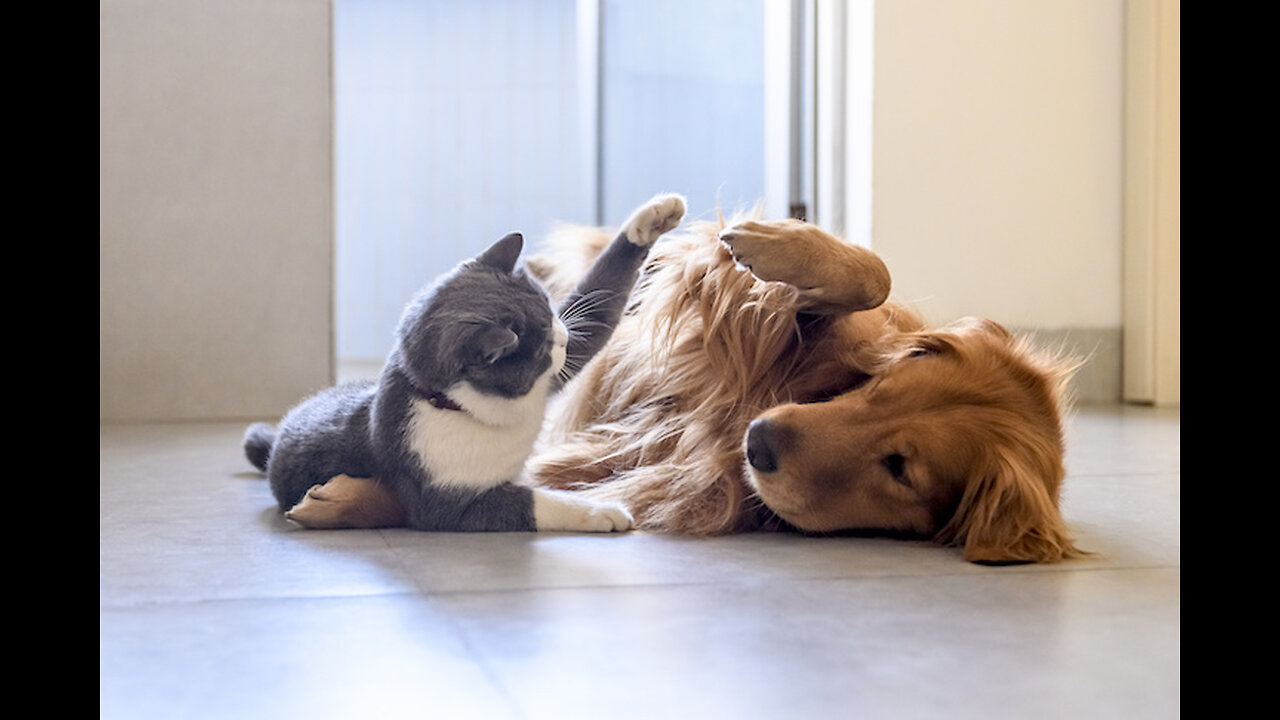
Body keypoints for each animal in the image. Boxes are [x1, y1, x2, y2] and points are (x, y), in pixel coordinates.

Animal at [243, 193, 686, 530]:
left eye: (548, 307)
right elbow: (531, 503)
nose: (562, 336)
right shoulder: (451, 502)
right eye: (540, 346)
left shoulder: (556, 373)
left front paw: (653, 217)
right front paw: (601, 511)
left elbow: (598, 306)